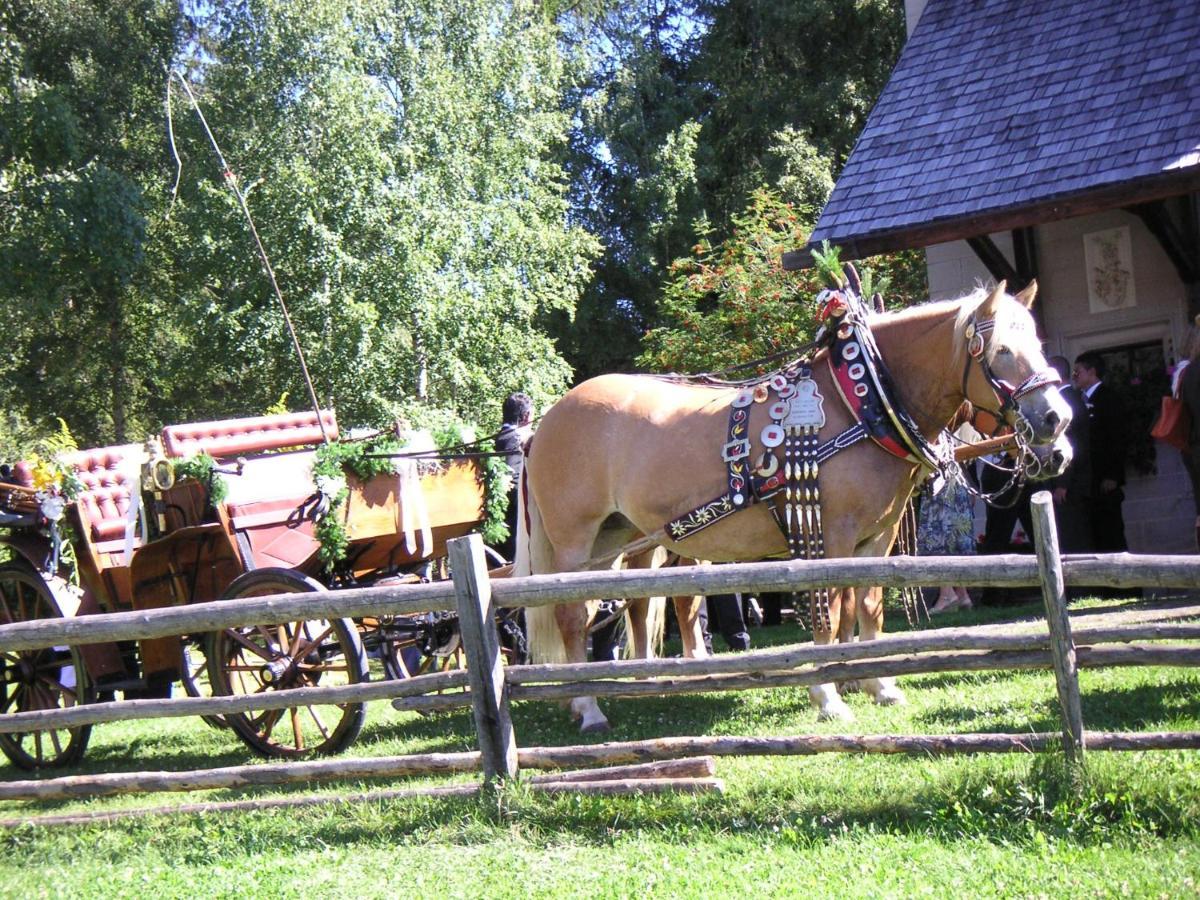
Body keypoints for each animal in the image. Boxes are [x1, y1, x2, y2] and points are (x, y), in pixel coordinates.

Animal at [513, 282, 1070, 734]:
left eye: (1038, 344)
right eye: (1000, 350)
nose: (1057, 421)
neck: (861, 402)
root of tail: (547, 422)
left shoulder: (877, 538)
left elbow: (867, 606)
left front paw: (877, 685)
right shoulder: (832, 534)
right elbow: (830, 611)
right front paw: (828, 696)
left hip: (618, 540)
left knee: (621, 606)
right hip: (575, 540)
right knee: (571, 615)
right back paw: (588, 707)